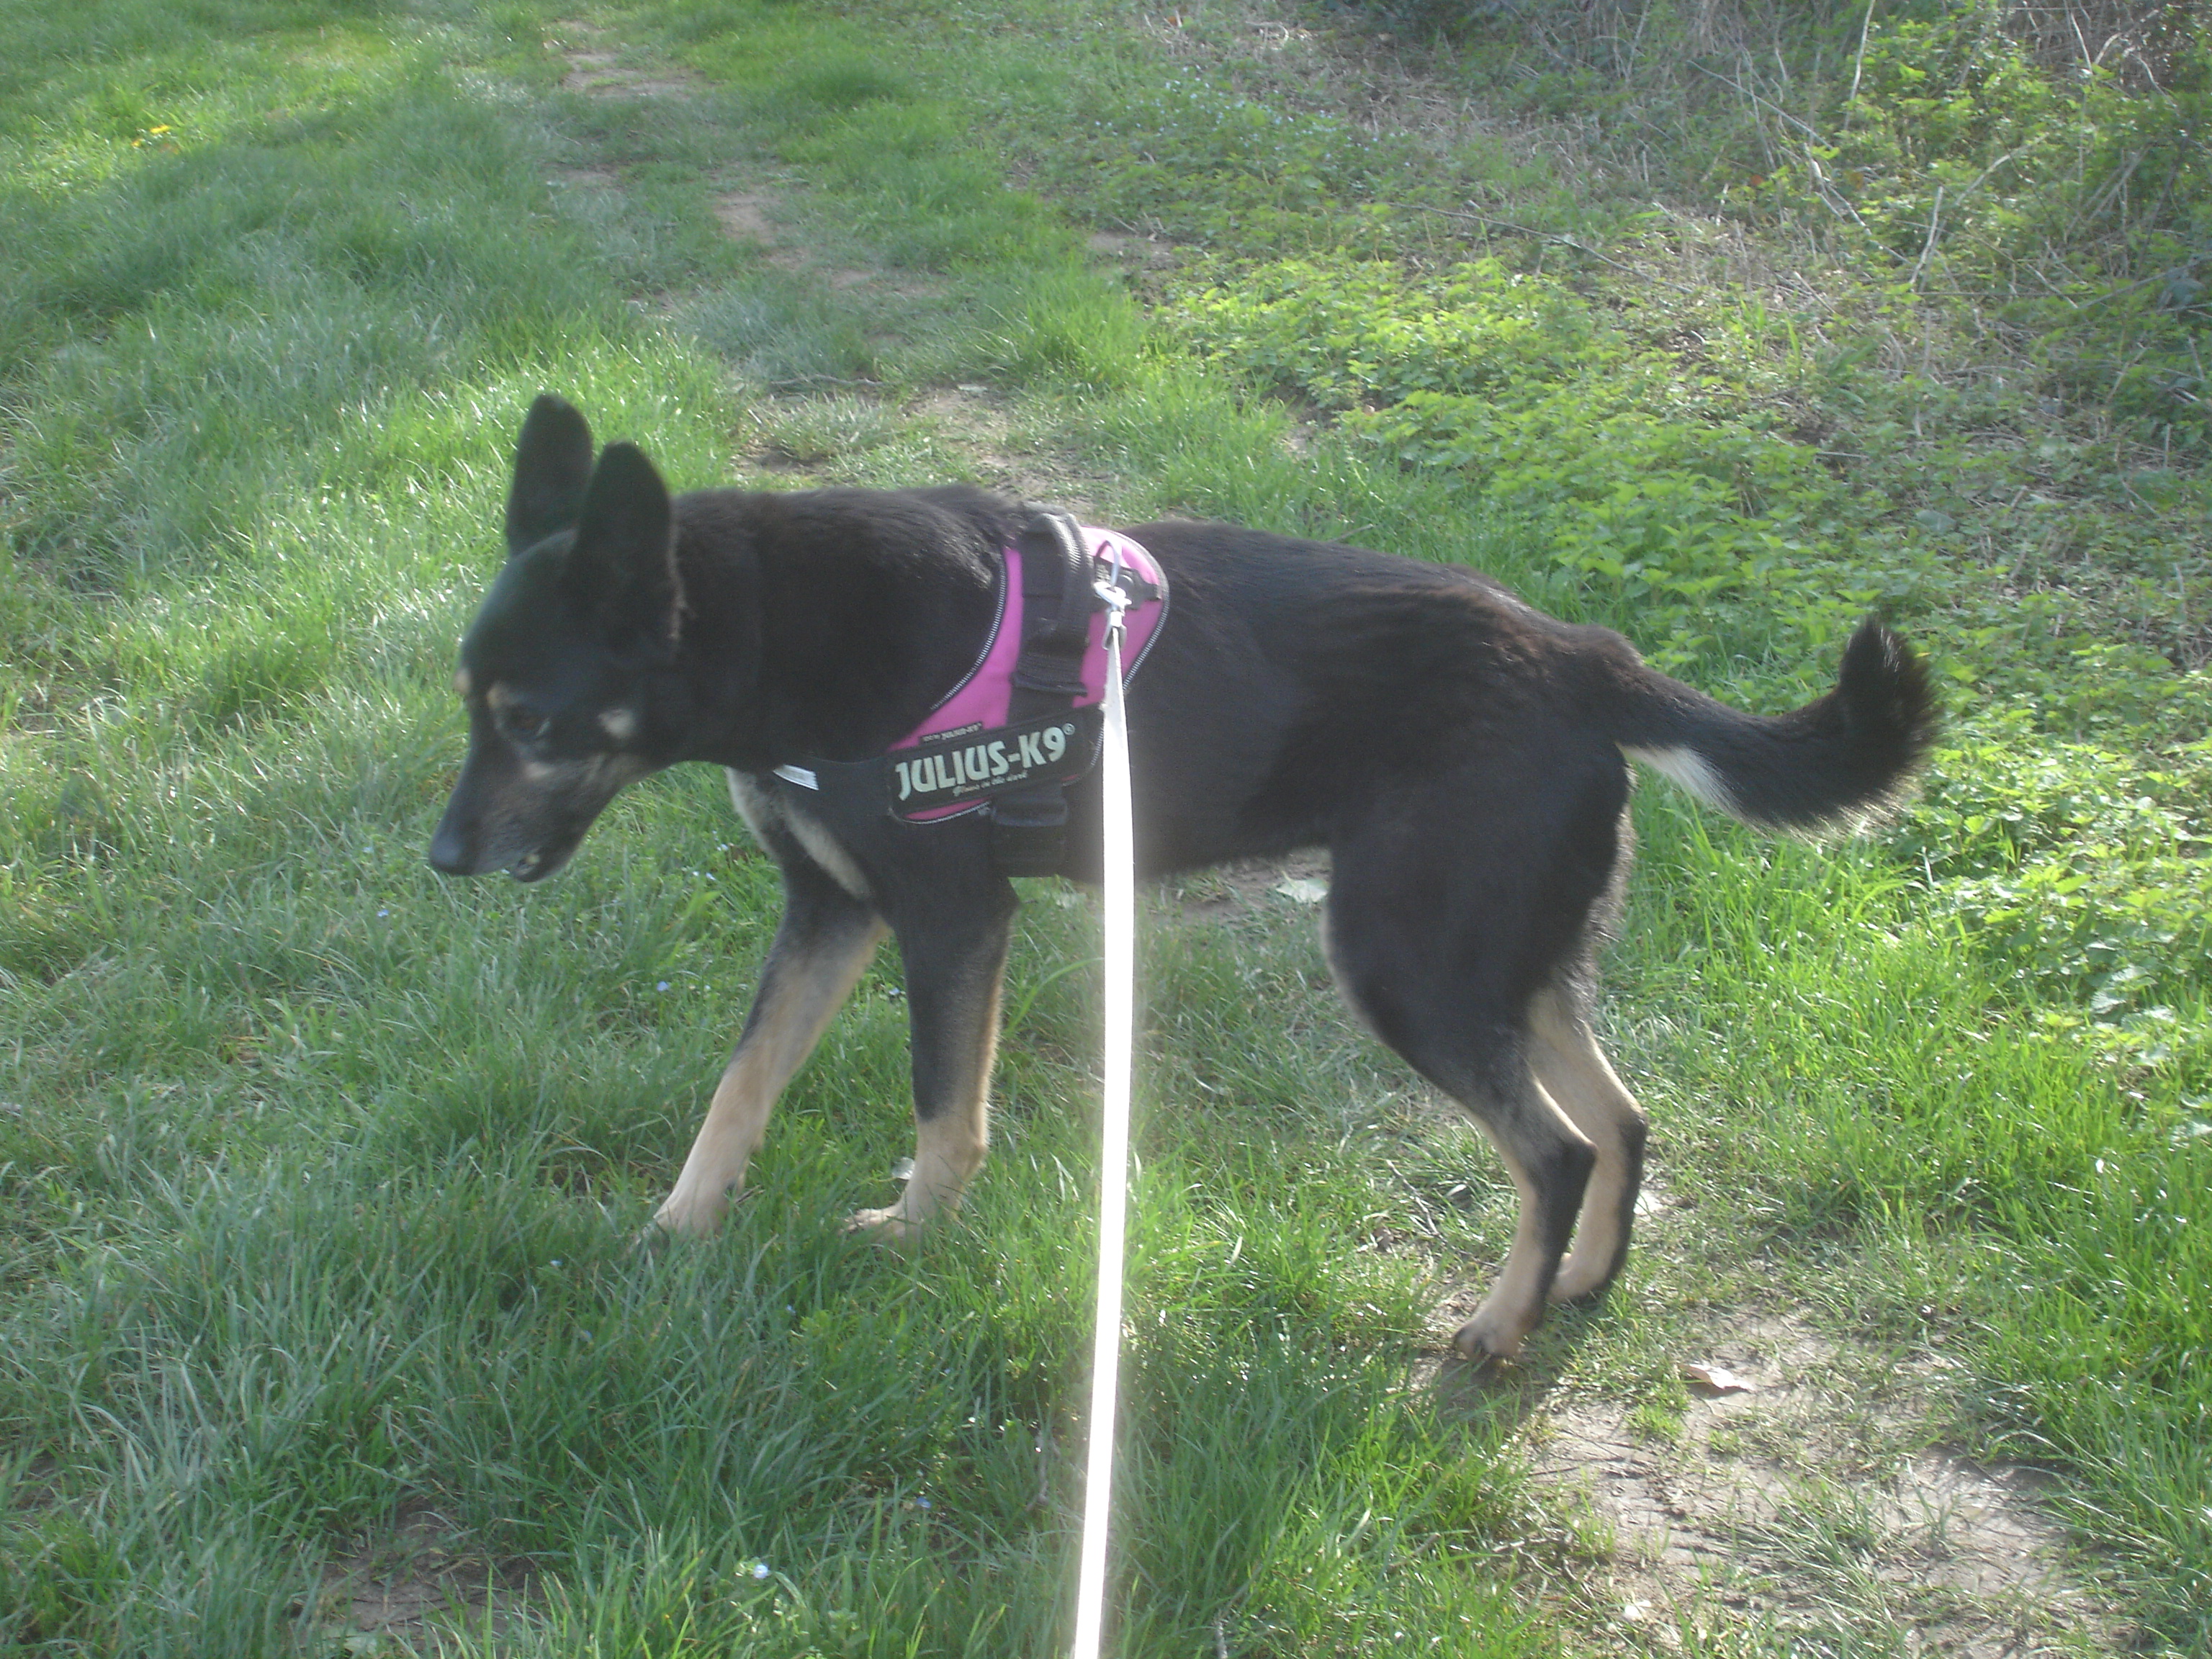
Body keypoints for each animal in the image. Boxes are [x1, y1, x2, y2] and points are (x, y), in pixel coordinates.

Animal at [429, 394, 1934, 1363]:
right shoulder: (830, 913)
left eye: (532, 720)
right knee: (1623, 1122)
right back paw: (1581, 1289)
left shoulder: (949, 922)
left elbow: (941, 1109)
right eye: (470, 703)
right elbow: (738, 1089)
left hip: (1405, 966)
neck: (776, 626)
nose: (441, 857)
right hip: (1502, 964)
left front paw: (913, 1235)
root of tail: (1579, 655)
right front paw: (674, 1233)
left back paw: (1496, 1328)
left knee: (1555, 1148)